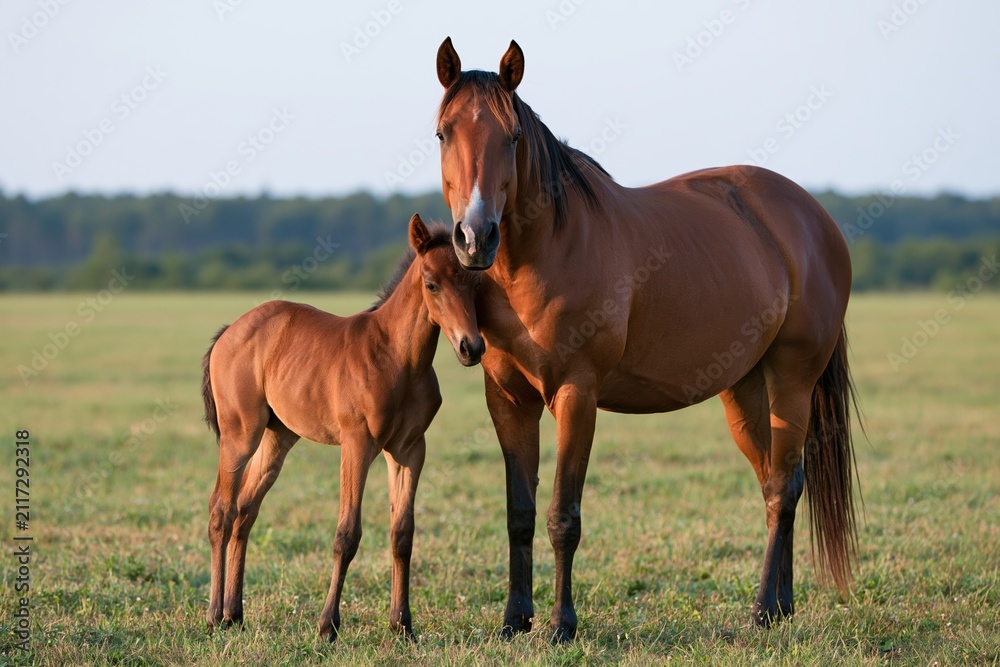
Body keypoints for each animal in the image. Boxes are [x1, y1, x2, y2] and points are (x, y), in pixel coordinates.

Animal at [201, 214, 483, 640]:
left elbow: (402, 533)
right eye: (431, 282)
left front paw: (402, 624)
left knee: (246, 510)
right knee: (222, 509)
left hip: (278, 437)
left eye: (476, 282)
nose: (472, 347)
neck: (398, 358)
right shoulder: (358, 444)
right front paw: (328, 625)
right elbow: (347, 534)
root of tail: (230, 330)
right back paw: (215, 615)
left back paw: (235, 614)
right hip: (240, 433)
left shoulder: (409, 450)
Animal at [433, 37, 860, 641]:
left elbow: (563, 515)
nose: (475, 238)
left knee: (782, 486)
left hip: (793, 379)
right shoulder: (508, 400)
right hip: (744, 390)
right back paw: (783, 605)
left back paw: (761, 610)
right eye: (443, 133)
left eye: (511, 136)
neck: (546, 249)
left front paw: (562, 625)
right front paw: (515, 620)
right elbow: (520, 513)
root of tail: (815, 218)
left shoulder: (577, 396)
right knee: (781, 479)